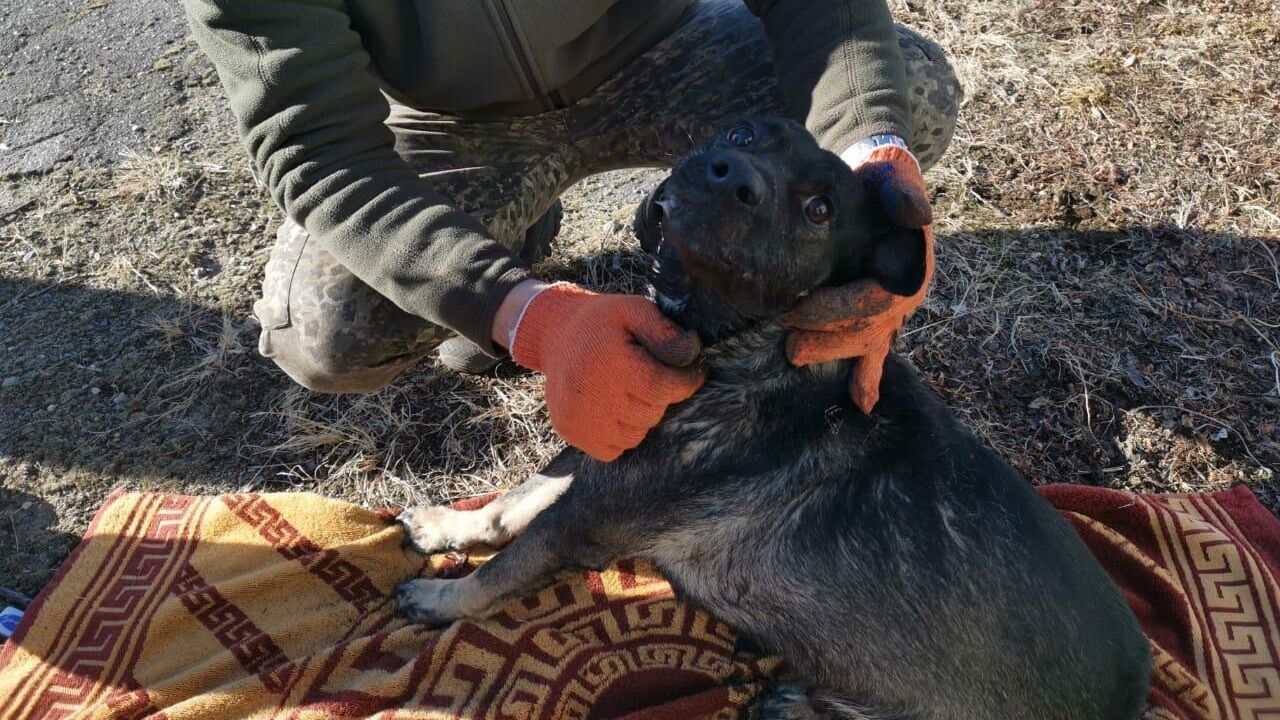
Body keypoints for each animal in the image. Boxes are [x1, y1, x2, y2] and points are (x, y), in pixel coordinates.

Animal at [391, 114, 1152, 712]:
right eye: (743, 133)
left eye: (820, 210)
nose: (726, 172)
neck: (733, 349)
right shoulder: (607, 446)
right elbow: (515, 500)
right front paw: (447, 527)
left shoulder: (590, 524)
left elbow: (510, 562)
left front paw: (443, 602)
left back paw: (793, 702)